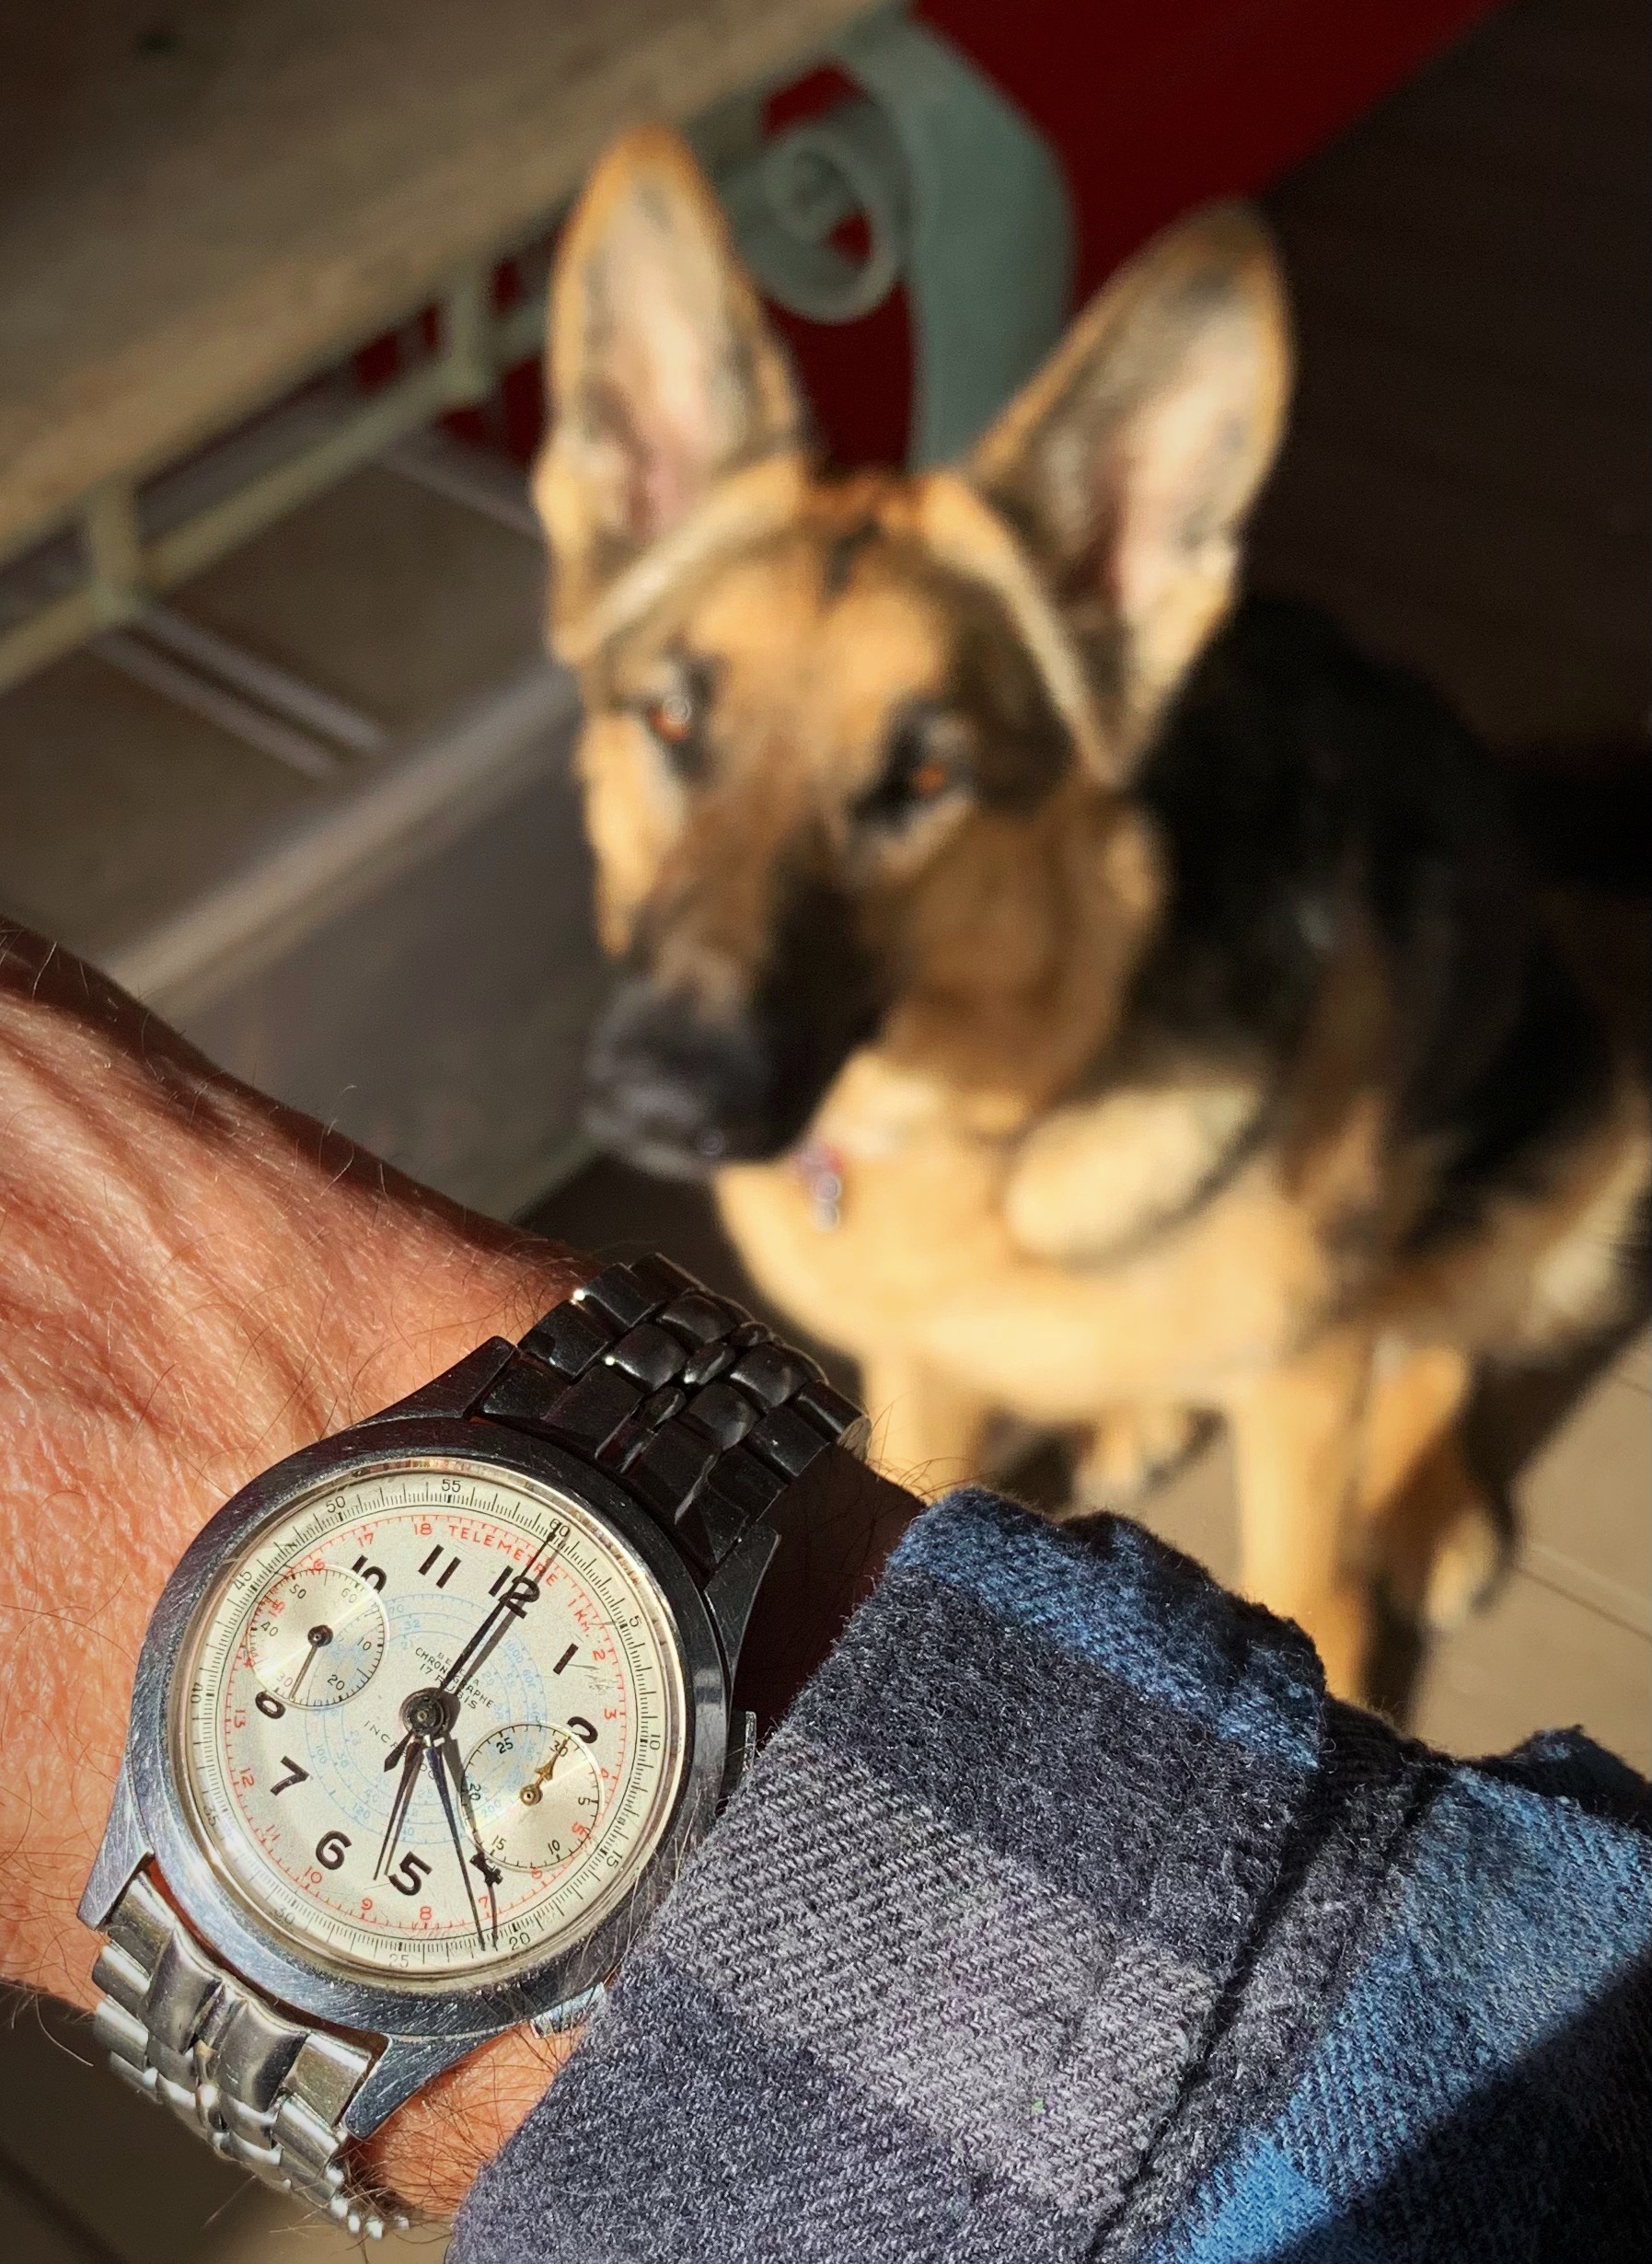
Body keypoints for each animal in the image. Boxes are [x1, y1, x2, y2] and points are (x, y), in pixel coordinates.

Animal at [531, 127, 1649, 1701]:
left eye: (924, 776)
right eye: (673, 720)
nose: (657, 1101)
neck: (995, 1123)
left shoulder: (1299, 1381)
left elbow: (1312, 1581)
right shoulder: (918, 1378)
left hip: (1580, 1153)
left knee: (1435, 1329)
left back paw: (1418, 1495)